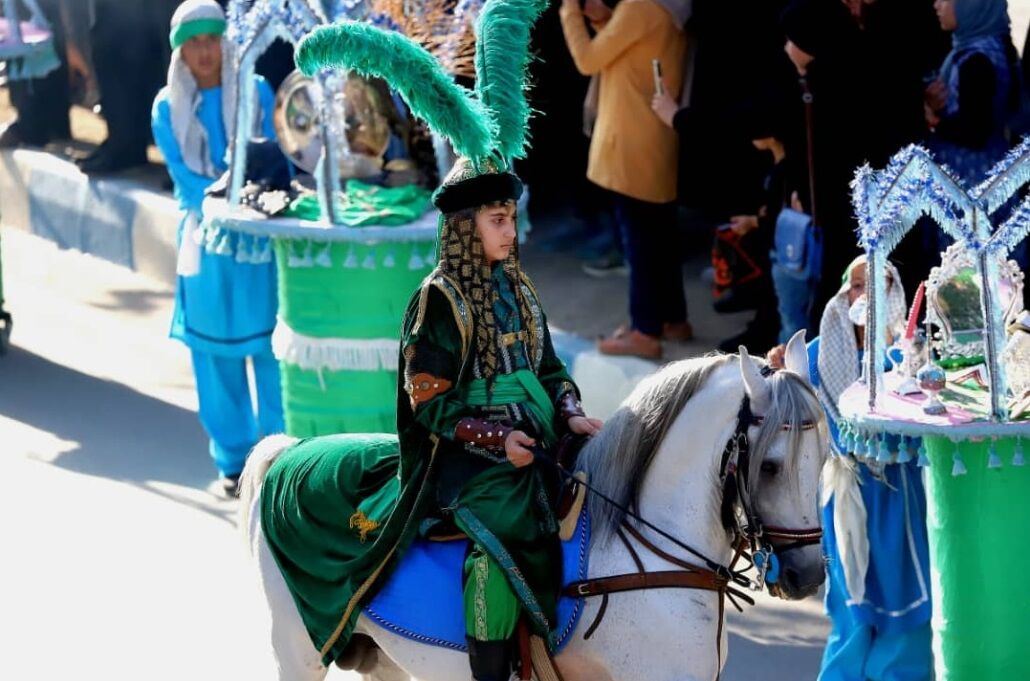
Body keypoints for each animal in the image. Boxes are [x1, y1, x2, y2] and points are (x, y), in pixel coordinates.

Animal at [241, 335, 828, 679]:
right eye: (770, 466)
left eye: (823, 459)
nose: (808, 575)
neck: (651, 562)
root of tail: (289, 451)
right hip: (298, 648)